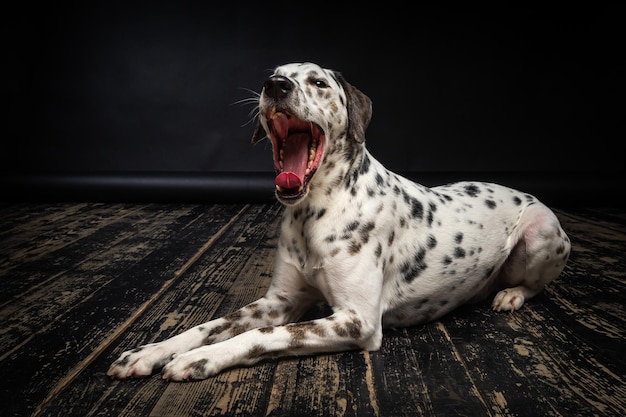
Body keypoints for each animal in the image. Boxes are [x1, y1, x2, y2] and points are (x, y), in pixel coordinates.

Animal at [107, 62, 572, 380]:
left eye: (318, 82)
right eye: (275, 75)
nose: (275, 86)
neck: (314, 211)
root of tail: (525, 193)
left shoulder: (356, 319)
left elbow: (263, 335)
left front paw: (198, 358)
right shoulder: (280, 300)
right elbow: (212, 324)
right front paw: (153, 351)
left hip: (541, 232)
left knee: (534, 284)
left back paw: (510, 294)